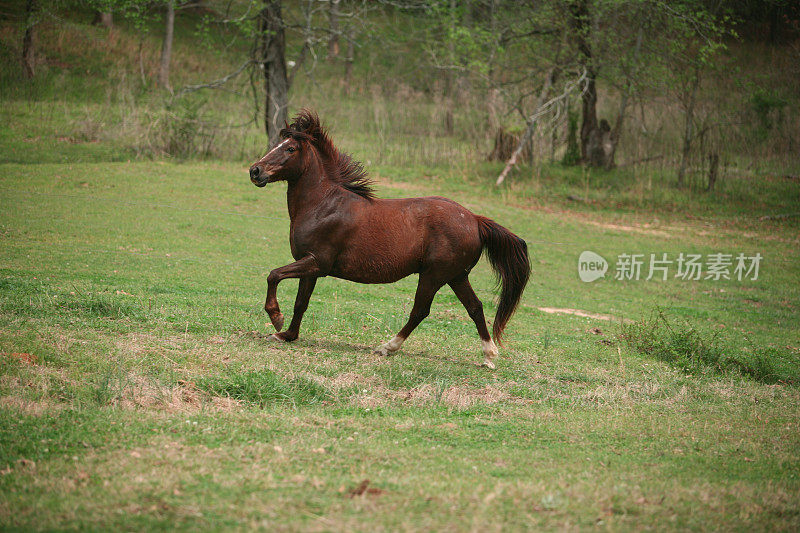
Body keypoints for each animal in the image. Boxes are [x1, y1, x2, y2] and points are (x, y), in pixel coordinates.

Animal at [247, 108, 528, 366]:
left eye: (290, 148)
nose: (255, 171)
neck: (323, 205)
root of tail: (475, 220)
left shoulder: (317, 262)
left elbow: (274, 275)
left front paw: (276, 318)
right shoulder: (310, 266)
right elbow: (300, 302)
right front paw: (287, 335)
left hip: (434, 275)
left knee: (420, 311)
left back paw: (387, 347)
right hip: (456, 276)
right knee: (475, 307)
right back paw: (489, 356)